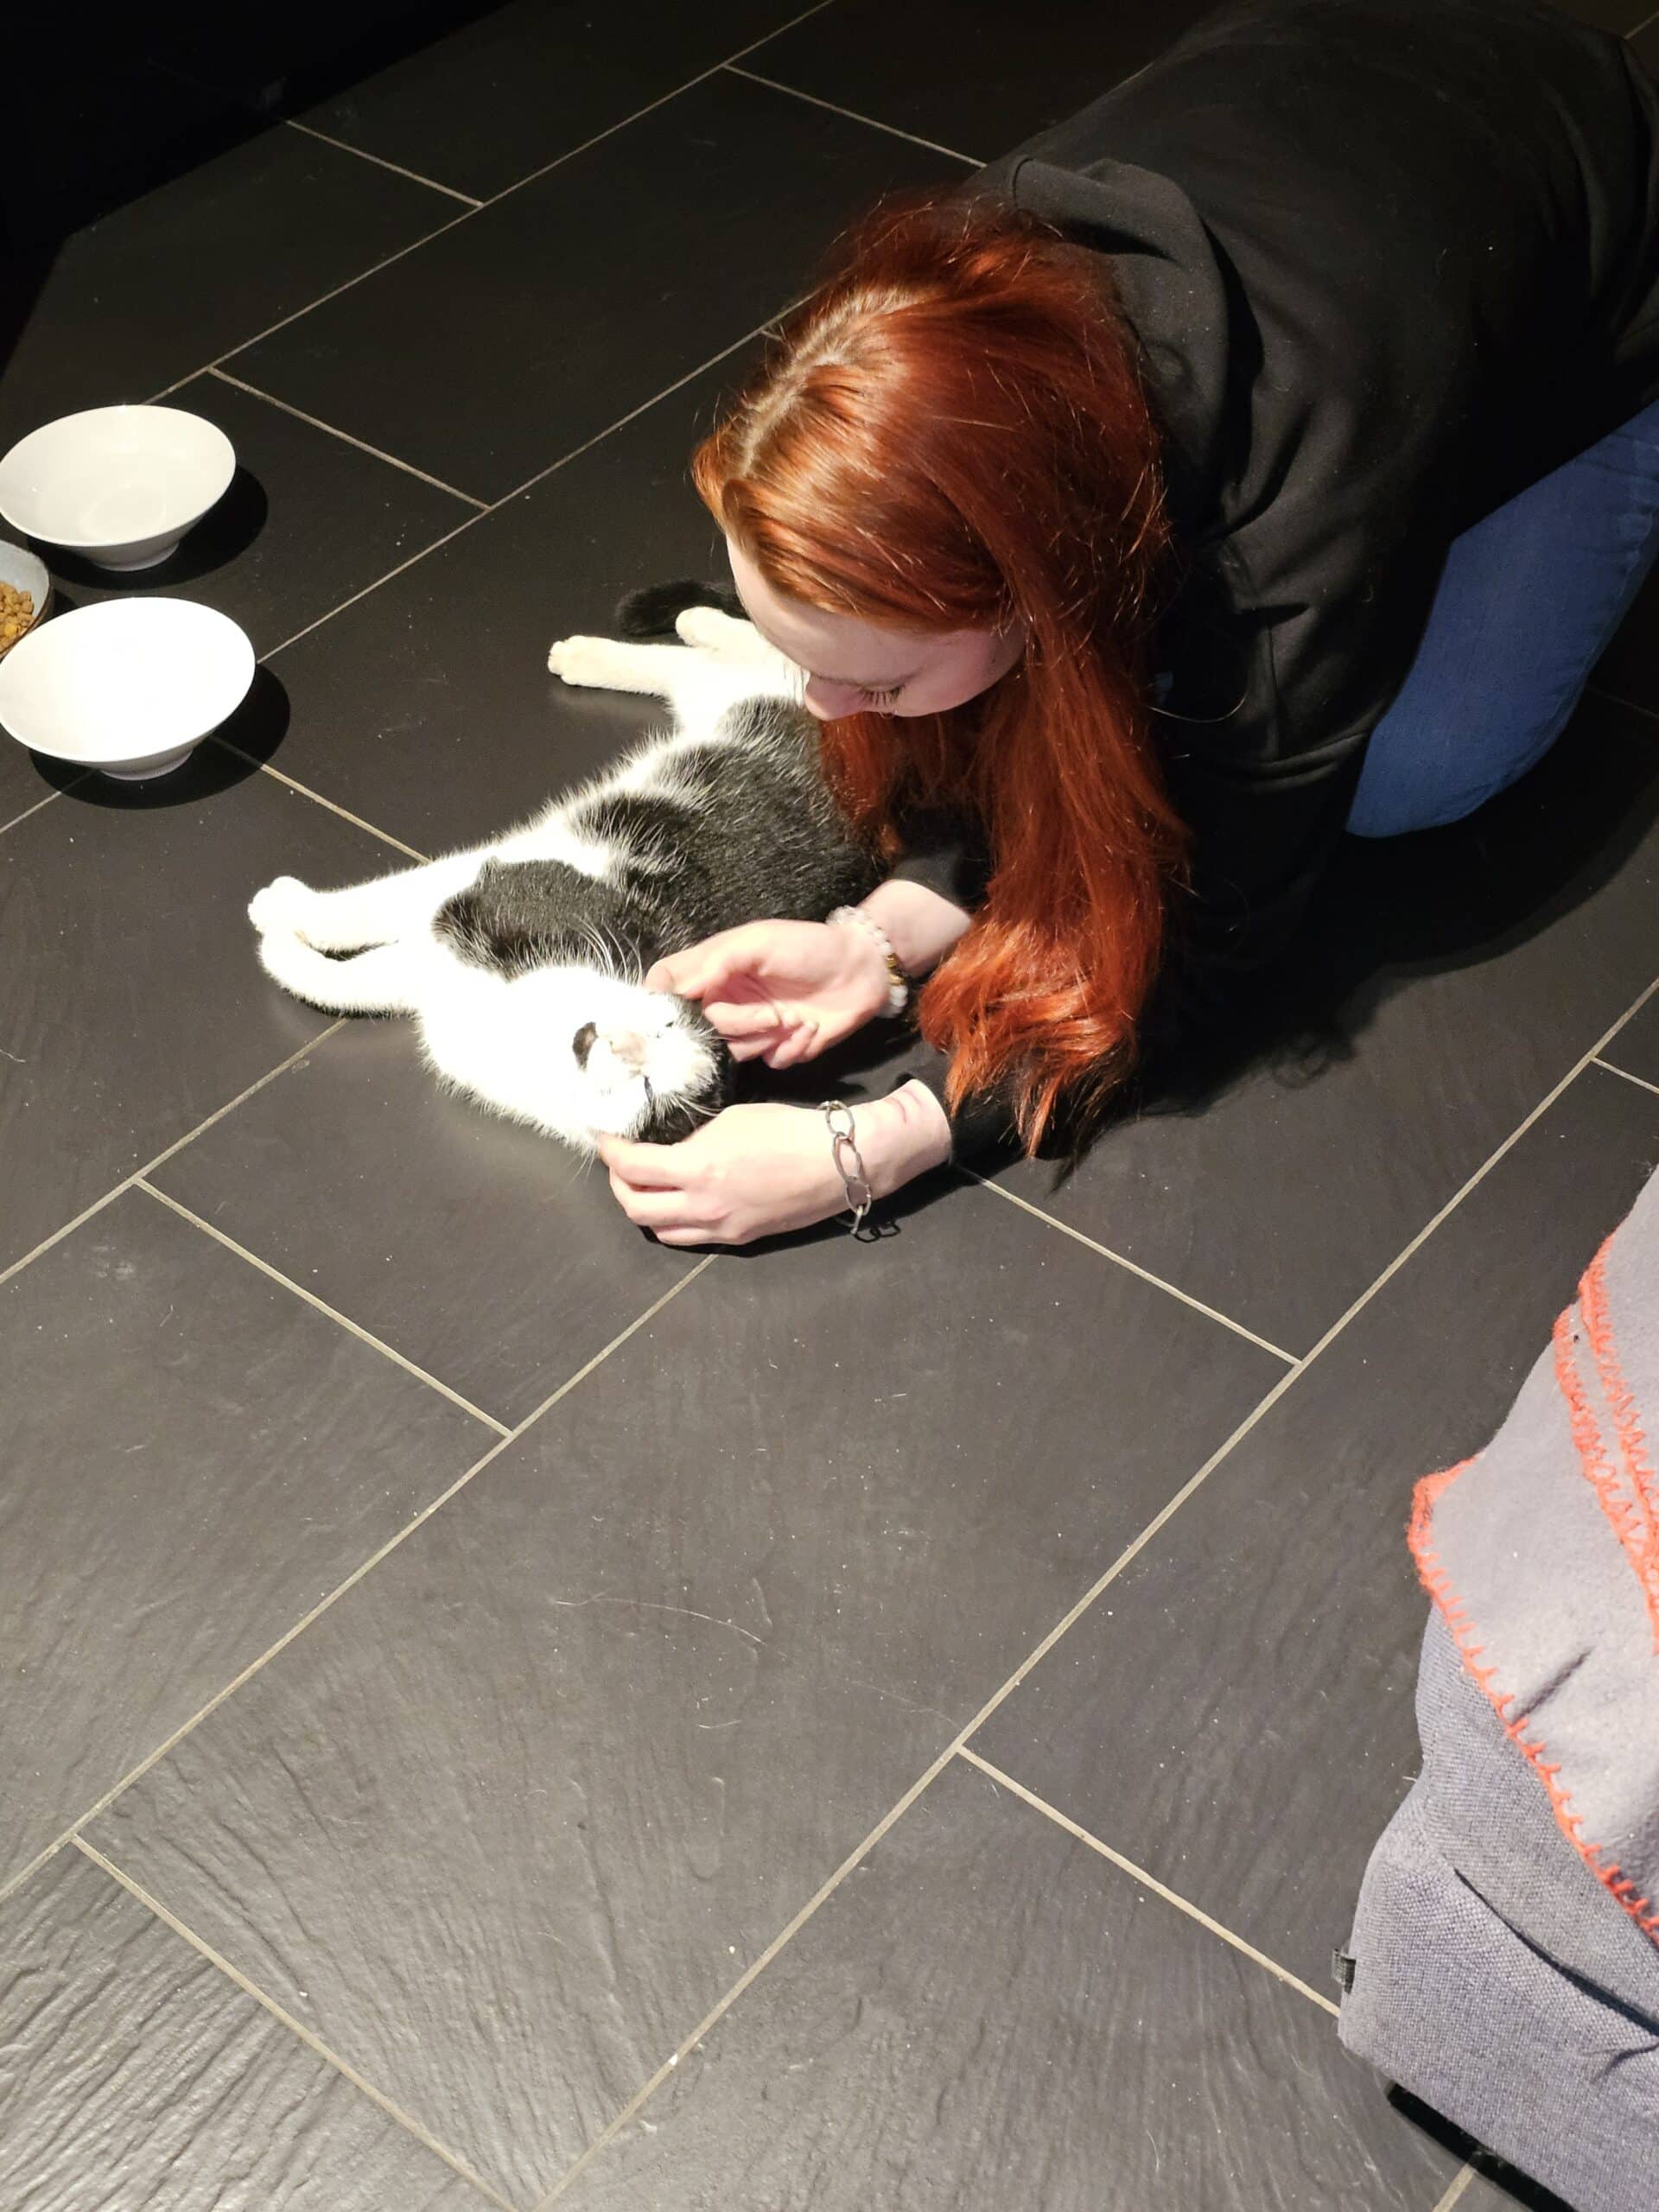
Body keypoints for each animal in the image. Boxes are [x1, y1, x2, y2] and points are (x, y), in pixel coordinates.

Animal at [247, 594, 882, 1151]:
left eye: (646, 1085)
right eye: (662, 1026)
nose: (620, 1042)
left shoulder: (440, 970)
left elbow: (355, 980)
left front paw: (279, 937)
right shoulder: (484, 884)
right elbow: (377, 906)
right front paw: (281, 911)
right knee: (729, 653)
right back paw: (663, 630)